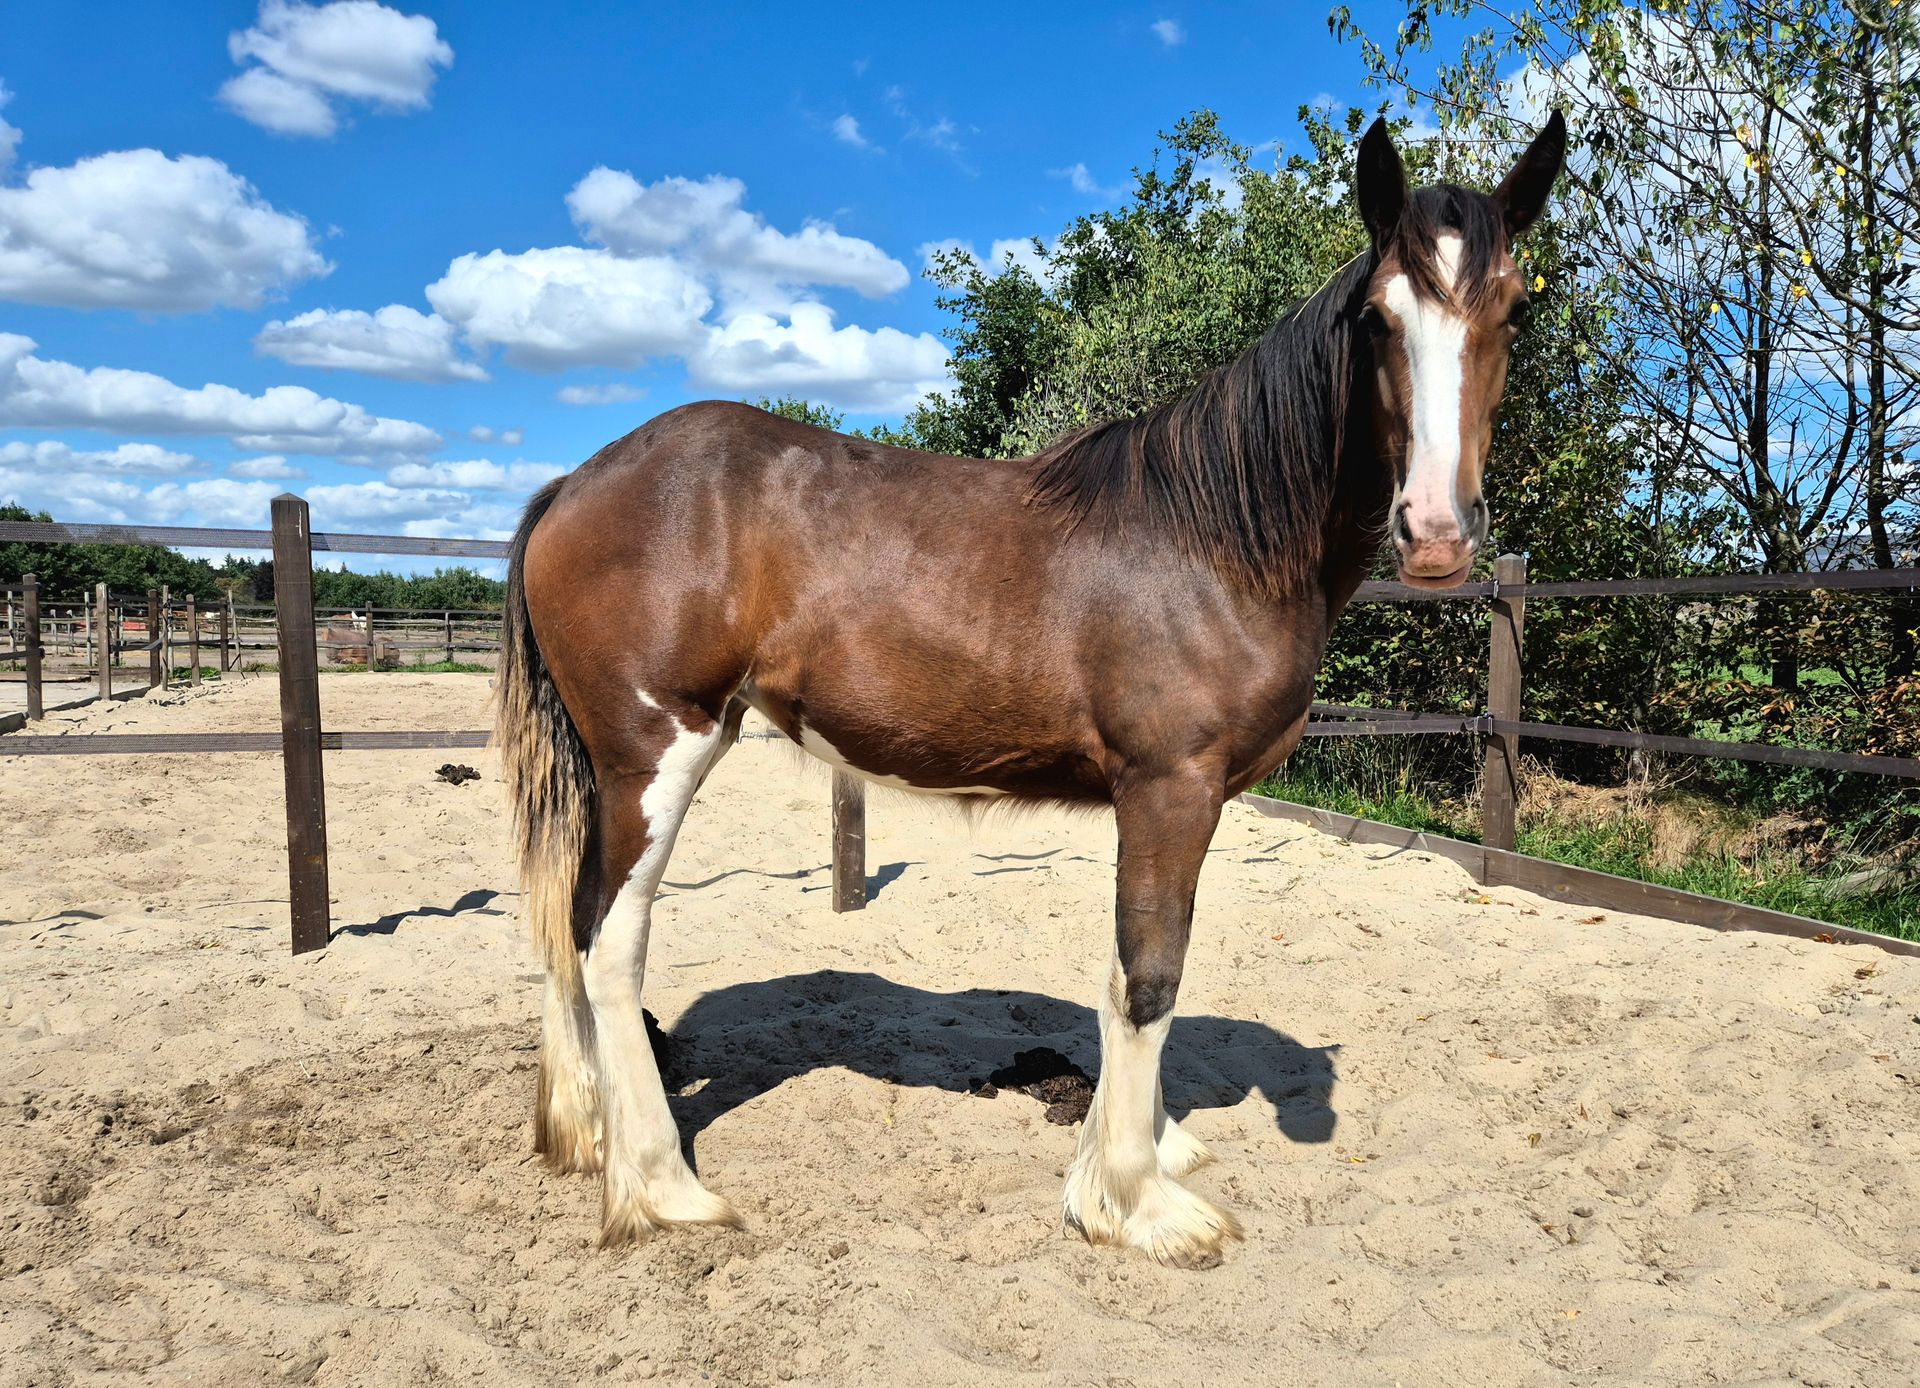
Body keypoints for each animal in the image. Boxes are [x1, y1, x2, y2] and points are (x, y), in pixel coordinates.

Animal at [493, 113, 1567, 1268]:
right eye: (1378, 317)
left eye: (1513, 306)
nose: (1436, 533)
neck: (1216, 539)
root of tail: (579, 481)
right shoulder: (1169, 789)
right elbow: (1148, 977)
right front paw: (1136, 1201)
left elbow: (1137, 971)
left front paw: (1149, 1146)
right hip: (655, 757)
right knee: (608, 938)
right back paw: (662, 1185)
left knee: (564, 925)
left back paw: (586, 1134)